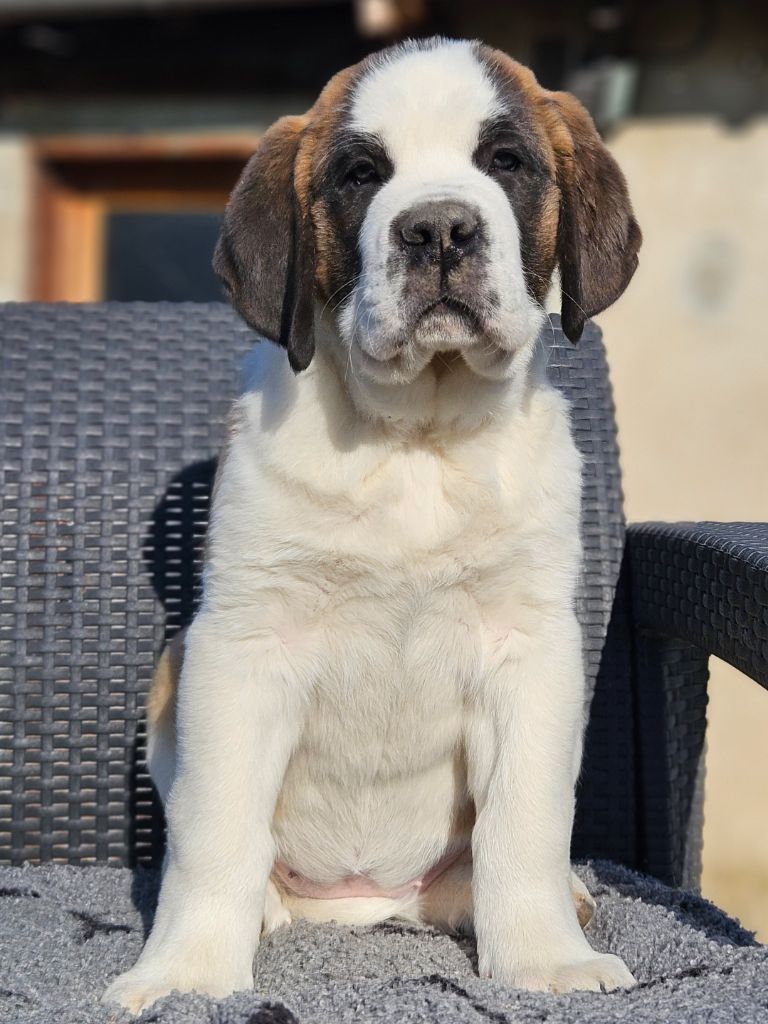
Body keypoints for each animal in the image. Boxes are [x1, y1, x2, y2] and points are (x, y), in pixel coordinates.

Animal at [103, 37, 641, 1013]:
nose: (439, 231)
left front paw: (546, 959)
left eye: (506, 163)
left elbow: (527, 821)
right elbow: (215, 827)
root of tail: (367, 901)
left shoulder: (529, 648)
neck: (414, 440)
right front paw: (187, 972)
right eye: (361, 175)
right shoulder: (242, 646)